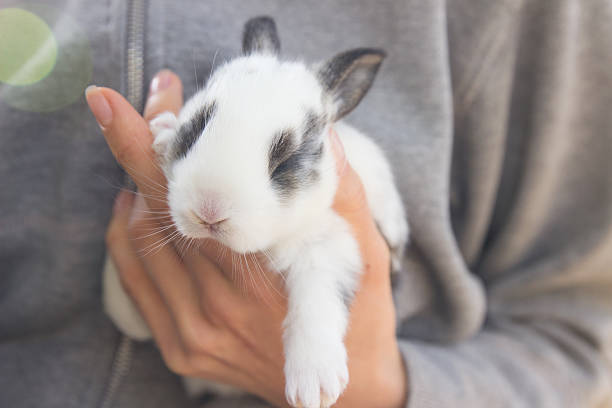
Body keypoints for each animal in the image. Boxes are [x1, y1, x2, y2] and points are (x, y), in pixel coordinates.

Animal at [103, 15, 408, 408]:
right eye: (197, 127)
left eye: (287, 160)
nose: (210, 210)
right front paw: (163, 130)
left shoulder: (333, 244)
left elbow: (317, 300)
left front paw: (314, 384)